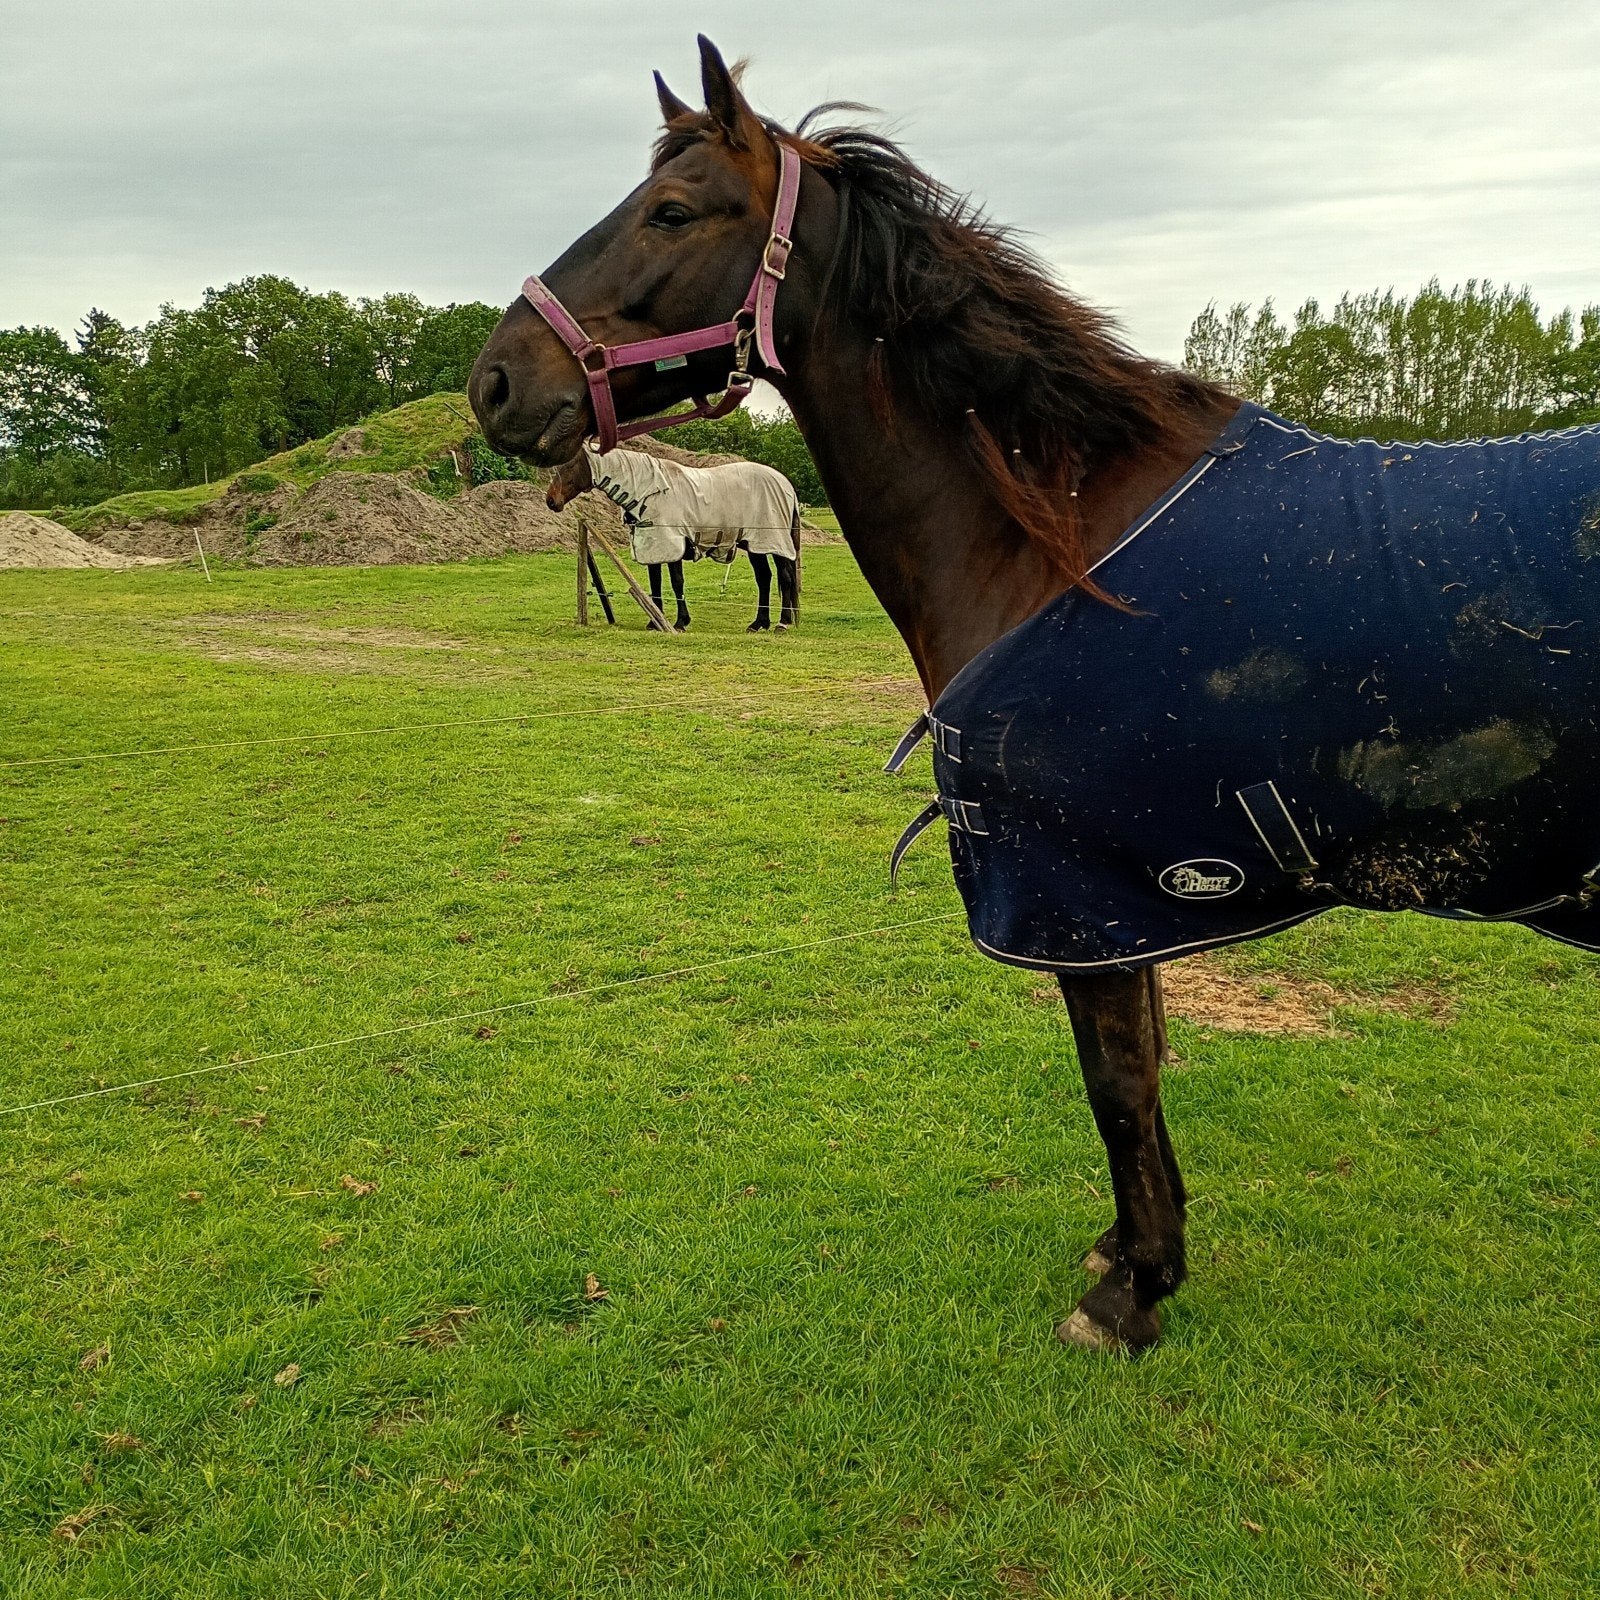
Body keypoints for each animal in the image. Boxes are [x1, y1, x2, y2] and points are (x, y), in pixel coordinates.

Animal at [547, 442, 802, 632]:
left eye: (570, 464)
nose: (551, 500)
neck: (647, 492)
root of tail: (786, 486)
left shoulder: (672, 547)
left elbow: (676, 582)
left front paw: (680, 622)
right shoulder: (653, 547)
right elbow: (655, 584)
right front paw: (655, 621)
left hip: (772, 543)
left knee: (785, 577)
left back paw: (782, 623)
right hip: (754, 545)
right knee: (764, 578)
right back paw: (759, 623)